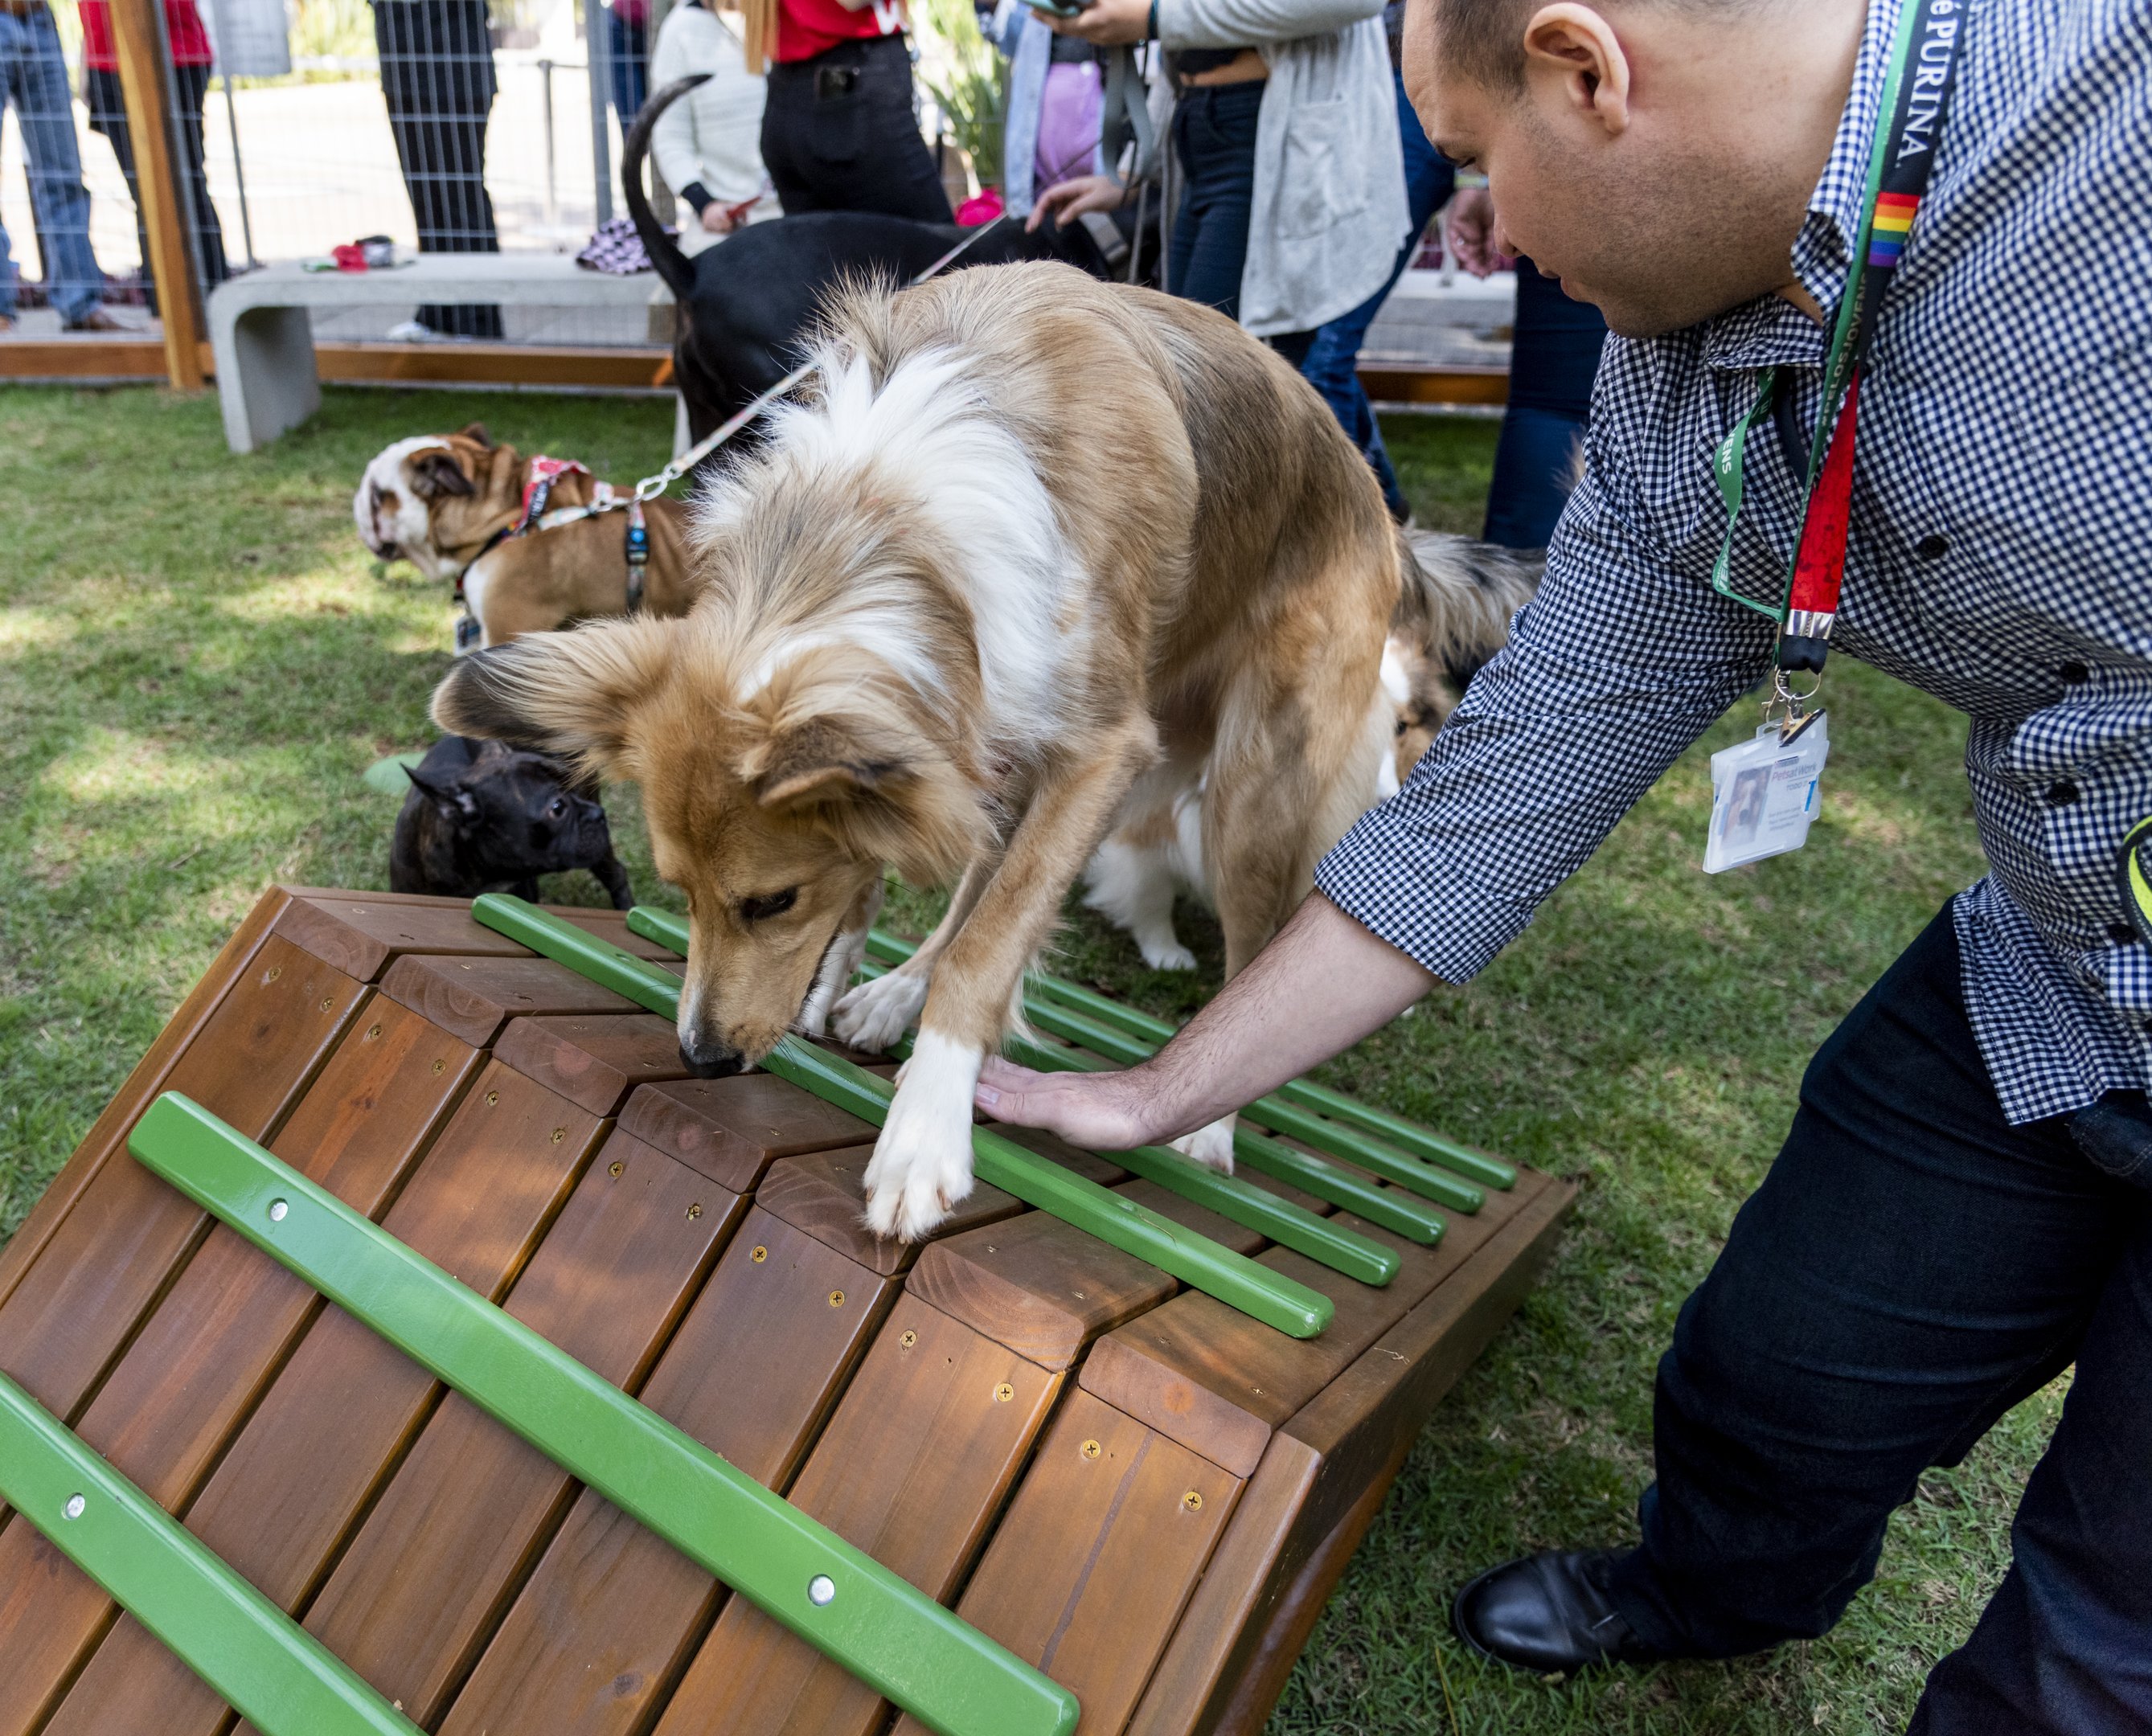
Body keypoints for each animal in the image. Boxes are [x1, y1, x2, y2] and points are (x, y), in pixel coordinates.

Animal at [434, 264, 1403, 1239]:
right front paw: (855, 988)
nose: (701, 1058)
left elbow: (991, 942)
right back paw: (895, 991)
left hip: (1247, 797)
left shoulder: (1099, 749)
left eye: (771, 902)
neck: (881, 522)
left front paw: (923, 1134)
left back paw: (1207, 1134)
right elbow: (922, 894)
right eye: (680, 892)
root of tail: (1379, 506)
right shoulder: (968, 732)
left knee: (1249, 947)